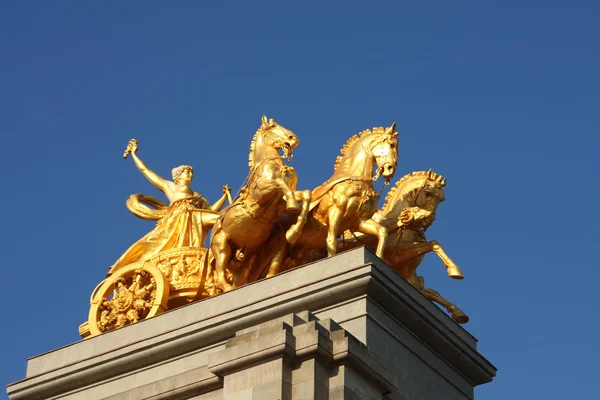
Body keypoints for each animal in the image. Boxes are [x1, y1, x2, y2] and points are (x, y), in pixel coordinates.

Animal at [211, 115, 312, 290]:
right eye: (272, 126)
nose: (293, 139)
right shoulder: (261, 193)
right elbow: (280, 183)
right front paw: (293, 207)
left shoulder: (280, 203)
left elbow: (306, 194)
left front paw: (294, 231)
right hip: (221, 245)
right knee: (219, 276)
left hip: (245, 260)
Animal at [342, 170, 468, 324]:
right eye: (427, 193)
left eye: (442, 199)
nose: (429, 219)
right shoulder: (399, 254)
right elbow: (434, 244)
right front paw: (454, 270)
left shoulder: (409, 271)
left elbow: (429, 291)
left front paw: (458, 312)